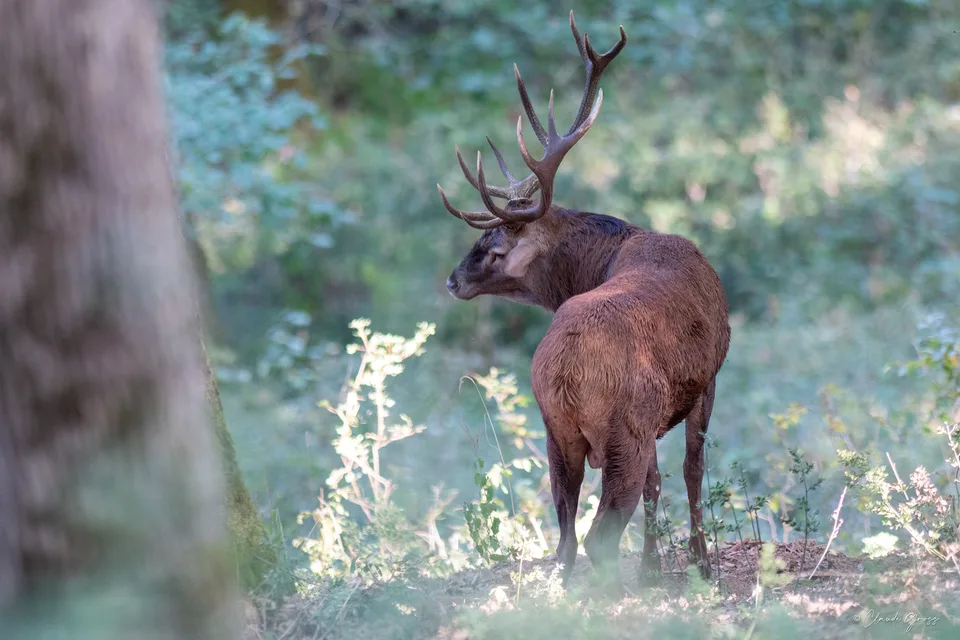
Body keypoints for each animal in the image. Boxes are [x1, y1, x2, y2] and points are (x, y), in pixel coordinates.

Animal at [437, 11, 731, 594]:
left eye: (494, 249)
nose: (453, 281)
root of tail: (567, 373)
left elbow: (660, 483)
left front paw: (653, 566)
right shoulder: (708, 375)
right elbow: (691, 471)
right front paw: (698, 563)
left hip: (557, 432)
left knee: (567, 538)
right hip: (624, 430)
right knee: (599, 534)